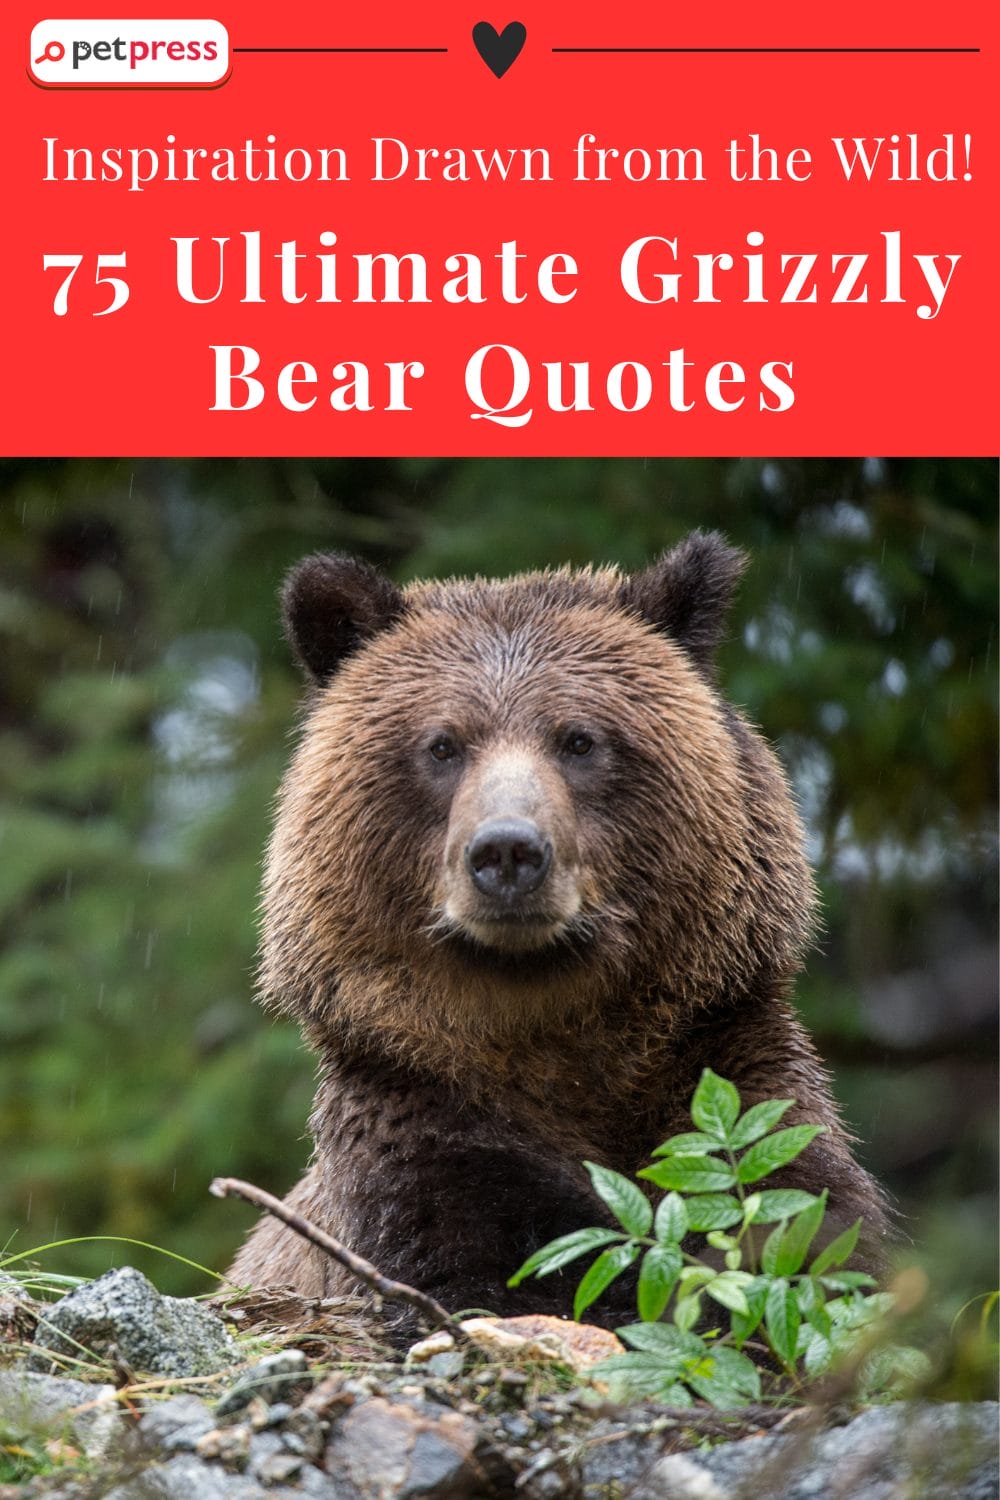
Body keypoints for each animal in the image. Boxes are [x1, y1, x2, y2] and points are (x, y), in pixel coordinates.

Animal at [228, 533, 889, 1322]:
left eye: (578, 739)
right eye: (442, 745)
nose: (508, 851)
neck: (551, 1034)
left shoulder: (731, 1078)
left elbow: (807, 1224)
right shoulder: (418, 1129)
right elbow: (496, 1263)